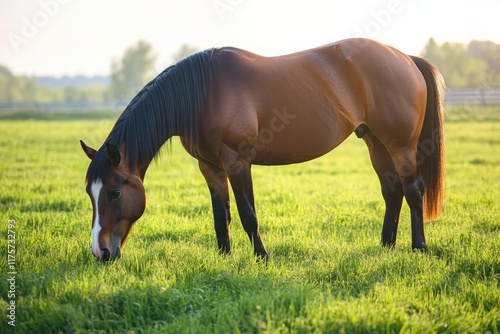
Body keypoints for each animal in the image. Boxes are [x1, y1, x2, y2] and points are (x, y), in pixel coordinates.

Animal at [81, 38, 446, 264]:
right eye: (89, 193)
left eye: (114, 192)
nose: (100, 253)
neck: (204, 93)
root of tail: (405, 58)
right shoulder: (210, 167)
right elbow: (221, 216)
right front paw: (224, 258)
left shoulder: (238, 162)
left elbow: (248, 214)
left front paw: (262, 257)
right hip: (375, 142)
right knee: (392, 191)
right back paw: (386, 246)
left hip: (400, 145)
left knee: (413, 190)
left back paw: (419, 247)